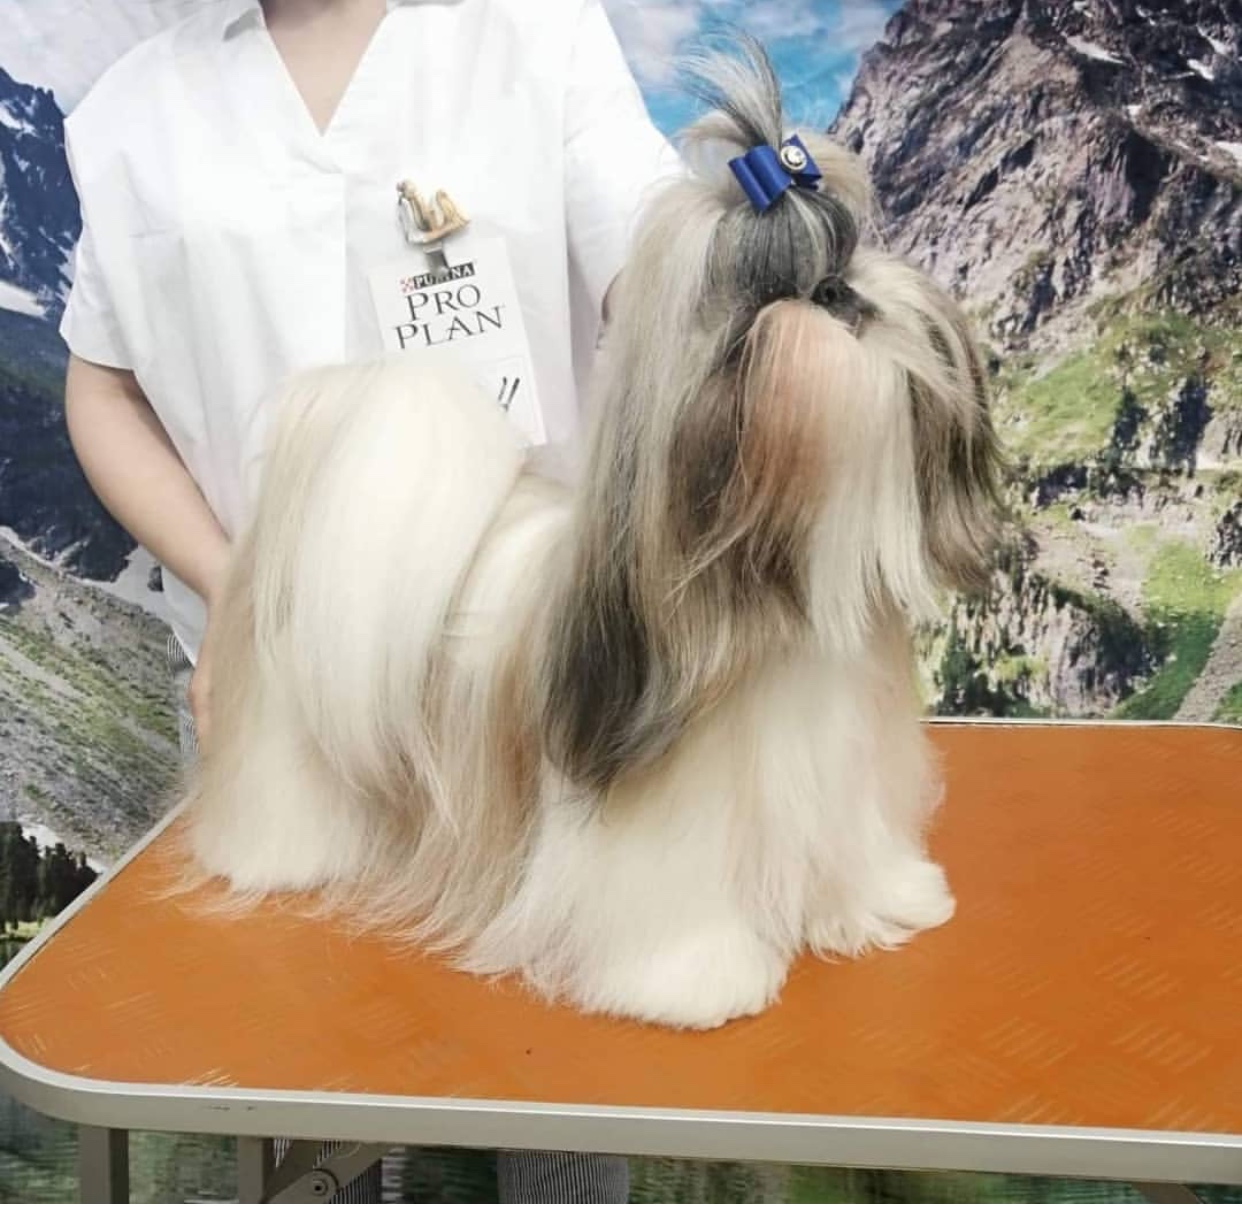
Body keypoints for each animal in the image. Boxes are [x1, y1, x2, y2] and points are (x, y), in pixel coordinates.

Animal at [181, 42, 998, 1033]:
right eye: (764, 299)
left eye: (846, 250)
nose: (835, 289)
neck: (779, 590)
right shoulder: (661, 824)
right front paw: (698, 978)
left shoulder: (840, 769)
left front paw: (885, 898)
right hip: (287, 740)